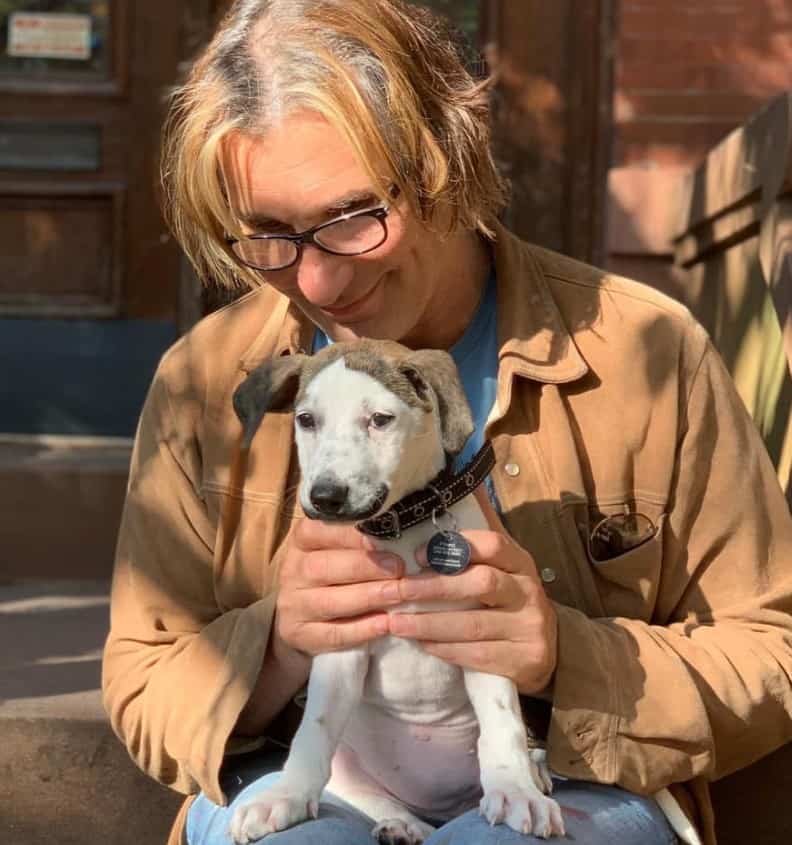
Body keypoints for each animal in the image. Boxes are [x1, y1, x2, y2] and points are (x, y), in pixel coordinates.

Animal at [229, 338, 564, 844]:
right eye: (306, 420)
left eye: (380, 419)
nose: (325, 496)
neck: (400, 528)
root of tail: (439, 809)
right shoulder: (341, 649)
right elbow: (314, 731)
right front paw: (286, 797)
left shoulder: (483, 638)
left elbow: (501, 724)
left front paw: (515, 791)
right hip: (350, 768)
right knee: (370, 794)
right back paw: (401, 824)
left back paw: (533, 776)